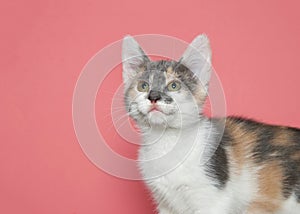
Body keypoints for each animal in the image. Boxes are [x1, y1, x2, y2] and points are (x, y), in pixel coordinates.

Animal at [120, 34, 298, 213]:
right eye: (143, 86)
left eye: (173, 86)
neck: (167, 142)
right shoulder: (165, 203)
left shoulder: (213, 198)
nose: (154, 96)